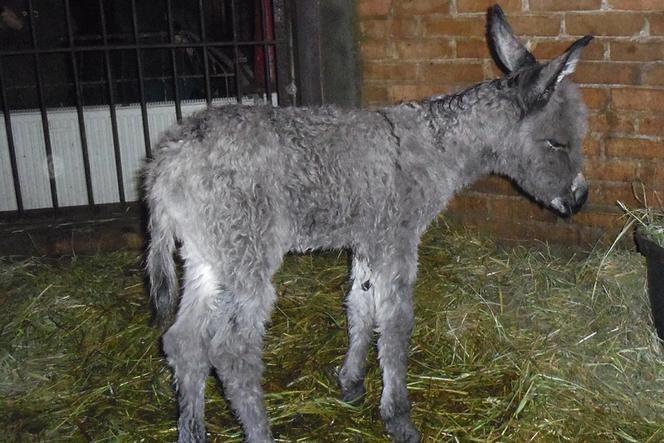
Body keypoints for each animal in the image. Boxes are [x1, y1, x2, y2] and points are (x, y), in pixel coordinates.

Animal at [144, 6, 592, 443]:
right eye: (557, 142)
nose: (580, 198)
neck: (439, 147)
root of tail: (166, 163)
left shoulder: (366, 242)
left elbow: (359, 309)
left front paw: (351, 382)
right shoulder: (398, 241)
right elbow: (395, 326)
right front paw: (398, 417)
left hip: (206, 258)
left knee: (184, 342)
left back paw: (191, 431)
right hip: (245, 252)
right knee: (231, 351)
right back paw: (259, 433)